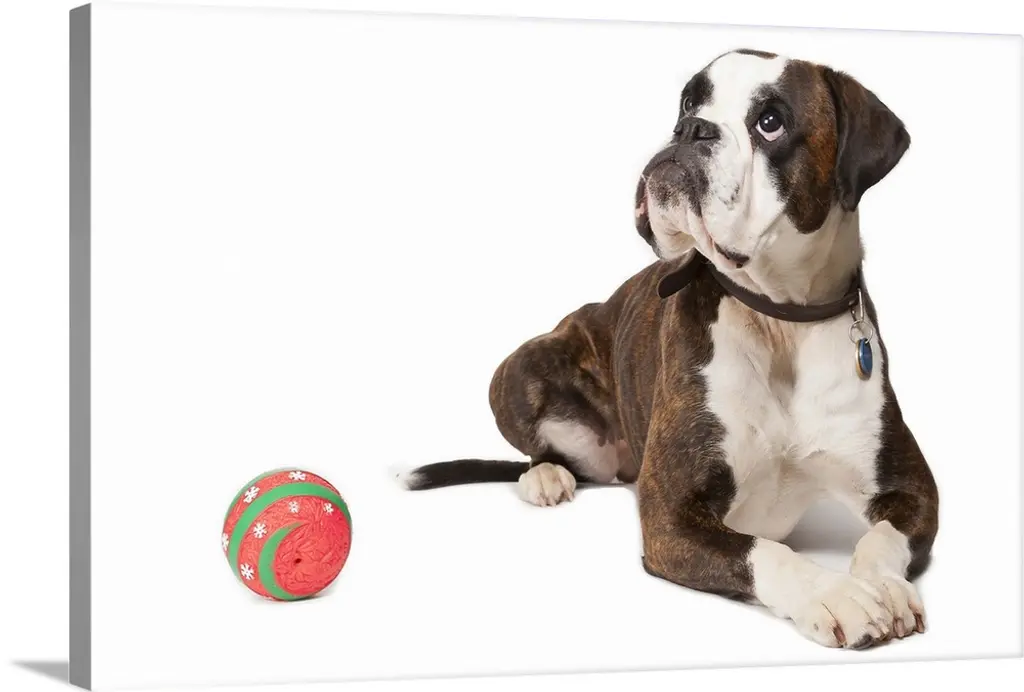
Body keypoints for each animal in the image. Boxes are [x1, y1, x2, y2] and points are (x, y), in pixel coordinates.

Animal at [399, 49, 938, 650]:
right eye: (687, 103)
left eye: (770, 122)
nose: (690, 130)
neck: (779, 319)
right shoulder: (670, 520)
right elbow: (764, 551)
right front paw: (834, 593)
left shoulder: (914, 493)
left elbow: (881, 540)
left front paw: (882, 586)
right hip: (520, 367)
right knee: (544, 448)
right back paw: (545, 476)